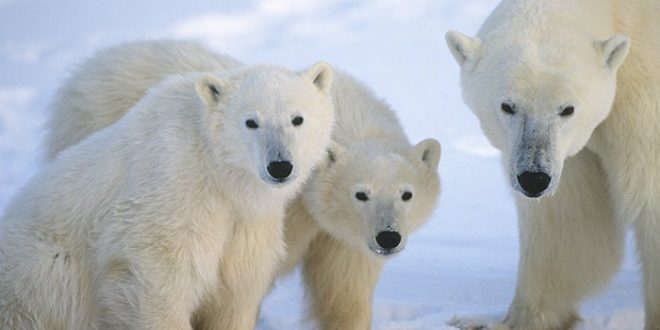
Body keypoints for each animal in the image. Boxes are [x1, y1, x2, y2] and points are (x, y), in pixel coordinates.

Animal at [0, 48, 336, 328]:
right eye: (250, 122)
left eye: (297, 119)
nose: (280, 166)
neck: (219, 175)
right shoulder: (172, 197)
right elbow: (160, 281)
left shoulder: (248, 227)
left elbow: (233, 293)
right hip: (44, 266)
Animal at [42, 38, 444, 328]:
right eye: (360, 194)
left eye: (406, 194)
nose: (388, 238)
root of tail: (86, 68)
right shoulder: (288, 212)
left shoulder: (344, 235)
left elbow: (345, 287)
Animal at [446, 0, 660, 328]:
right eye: (508, 106)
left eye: (567, 109)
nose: (534, 178)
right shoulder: (568, 157)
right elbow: (567, 218)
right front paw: (503, 321)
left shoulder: (643, 105)